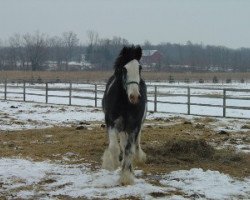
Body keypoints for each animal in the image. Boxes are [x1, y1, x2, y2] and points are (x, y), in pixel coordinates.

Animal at [100, 44, 146, 185]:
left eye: (140, 68)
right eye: (124, 69)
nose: (134, 96)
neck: (124, 103)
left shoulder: (133, 126)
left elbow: (129, 150)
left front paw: (126, 175)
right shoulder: (111, 123)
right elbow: (114, 147)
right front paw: (112, 163)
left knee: (130, 145)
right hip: (121, 127)